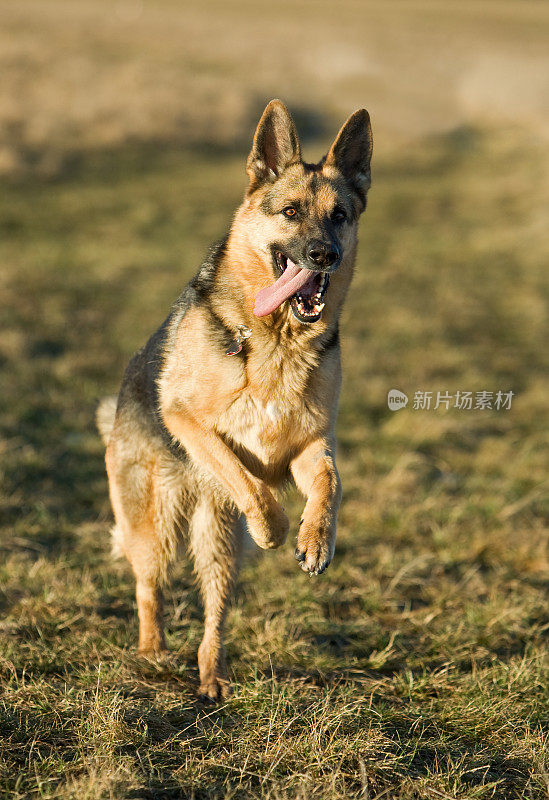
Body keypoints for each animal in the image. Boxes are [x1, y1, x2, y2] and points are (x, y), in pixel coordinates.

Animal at [98, 100, 372, 700]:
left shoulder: (312, 444)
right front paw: (275, 526)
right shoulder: (190, 422)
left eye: (340, 215)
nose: (325, 254)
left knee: (214, 615)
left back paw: (212, 674)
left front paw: (316, 541)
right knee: (149, 587)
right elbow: (246, 479)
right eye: (290, 212)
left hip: (219, 548)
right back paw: (151, 652)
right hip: (156, 529)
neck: (276, 339)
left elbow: (331, 485)